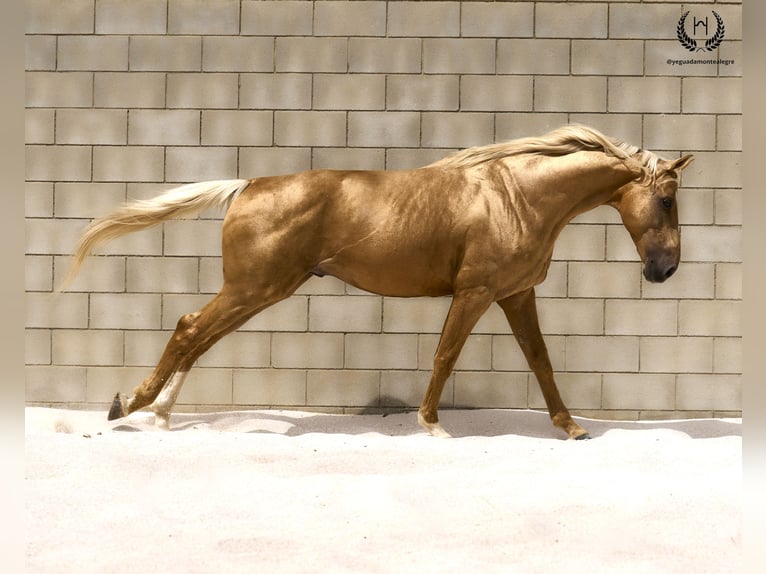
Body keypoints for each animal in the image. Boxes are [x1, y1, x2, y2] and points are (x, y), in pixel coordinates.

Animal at [64, 126, 696, 440]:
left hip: (256, 292)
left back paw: (159, 414)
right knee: (190, 328)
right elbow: (445, 354)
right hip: (254, 289)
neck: (515, 196)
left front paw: (570, 428)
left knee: (196, 334)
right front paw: (432, 425)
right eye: (666, 199)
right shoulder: (476, 293)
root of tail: (247, 186)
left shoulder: (517, 294)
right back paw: (130, 406)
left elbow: (540, 360)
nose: (664, 269)